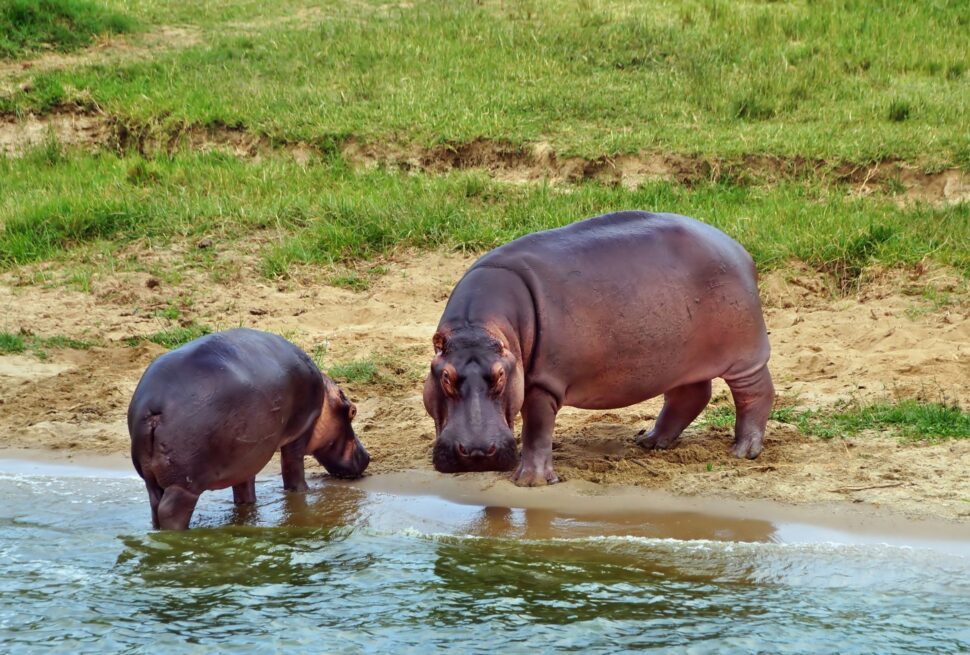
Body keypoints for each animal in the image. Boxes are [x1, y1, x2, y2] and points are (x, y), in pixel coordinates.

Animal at [128, 328, 370, 529]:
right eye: (353, 411)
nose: (367, 456)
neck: (326, 400)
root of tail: (154, 405)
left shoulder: (246, 457)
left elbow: (245, 489)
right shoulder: (301, 432)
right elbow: (292, 471)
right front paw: (303, 493)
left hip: (153, 479)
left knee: (155, 506)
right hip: (185, 485)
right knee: (170, 511)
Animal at [424, 211, 774, 486]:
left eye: (499, 376)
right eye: (445, 377)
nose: (477, 452)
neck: (478, 326)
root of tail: (739, 249)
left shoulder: (543, 383)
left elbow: (537, 428)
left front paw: (530, 482)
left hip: (746, 354)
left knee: (755, 393)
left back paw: (743, 451)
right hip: (680, 358)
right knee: (690, 395)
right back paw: (649, 441)